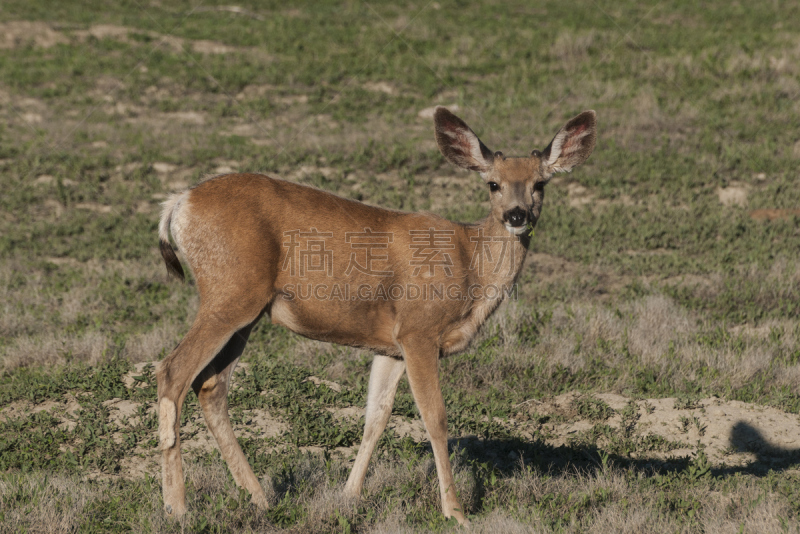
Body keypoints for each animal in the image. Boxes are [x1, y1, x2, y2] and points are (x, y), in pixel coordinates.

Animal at [156, 107, 592, 524]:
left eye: (540, 184)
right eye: (493, 183)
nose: (517, 215)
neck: (471, 266)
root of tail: (178, 204)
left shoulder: (390, 346)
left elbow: (376, 418)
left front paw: (349, 495)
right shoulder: (418, 330)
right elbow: (435, 418)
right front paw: (455, 511)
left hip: (245, 312)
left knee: (211, 386)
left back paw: (260, 499)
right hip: (230, 294)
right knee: (173, 371)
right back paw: (178, 507)